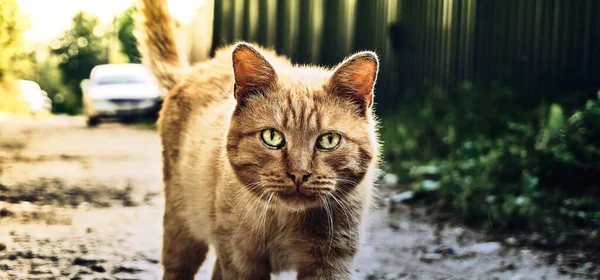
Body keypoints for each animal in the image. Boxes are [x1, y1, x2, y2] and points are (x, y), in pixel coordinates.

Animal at [137, 0, 380, 278]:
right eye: (272, 137)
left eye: (328, 140)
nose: (299, 173)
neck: (285, 221)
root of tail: (193, 70)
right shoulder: (241, 260)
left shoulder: (331, 262)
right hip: (182, 229)